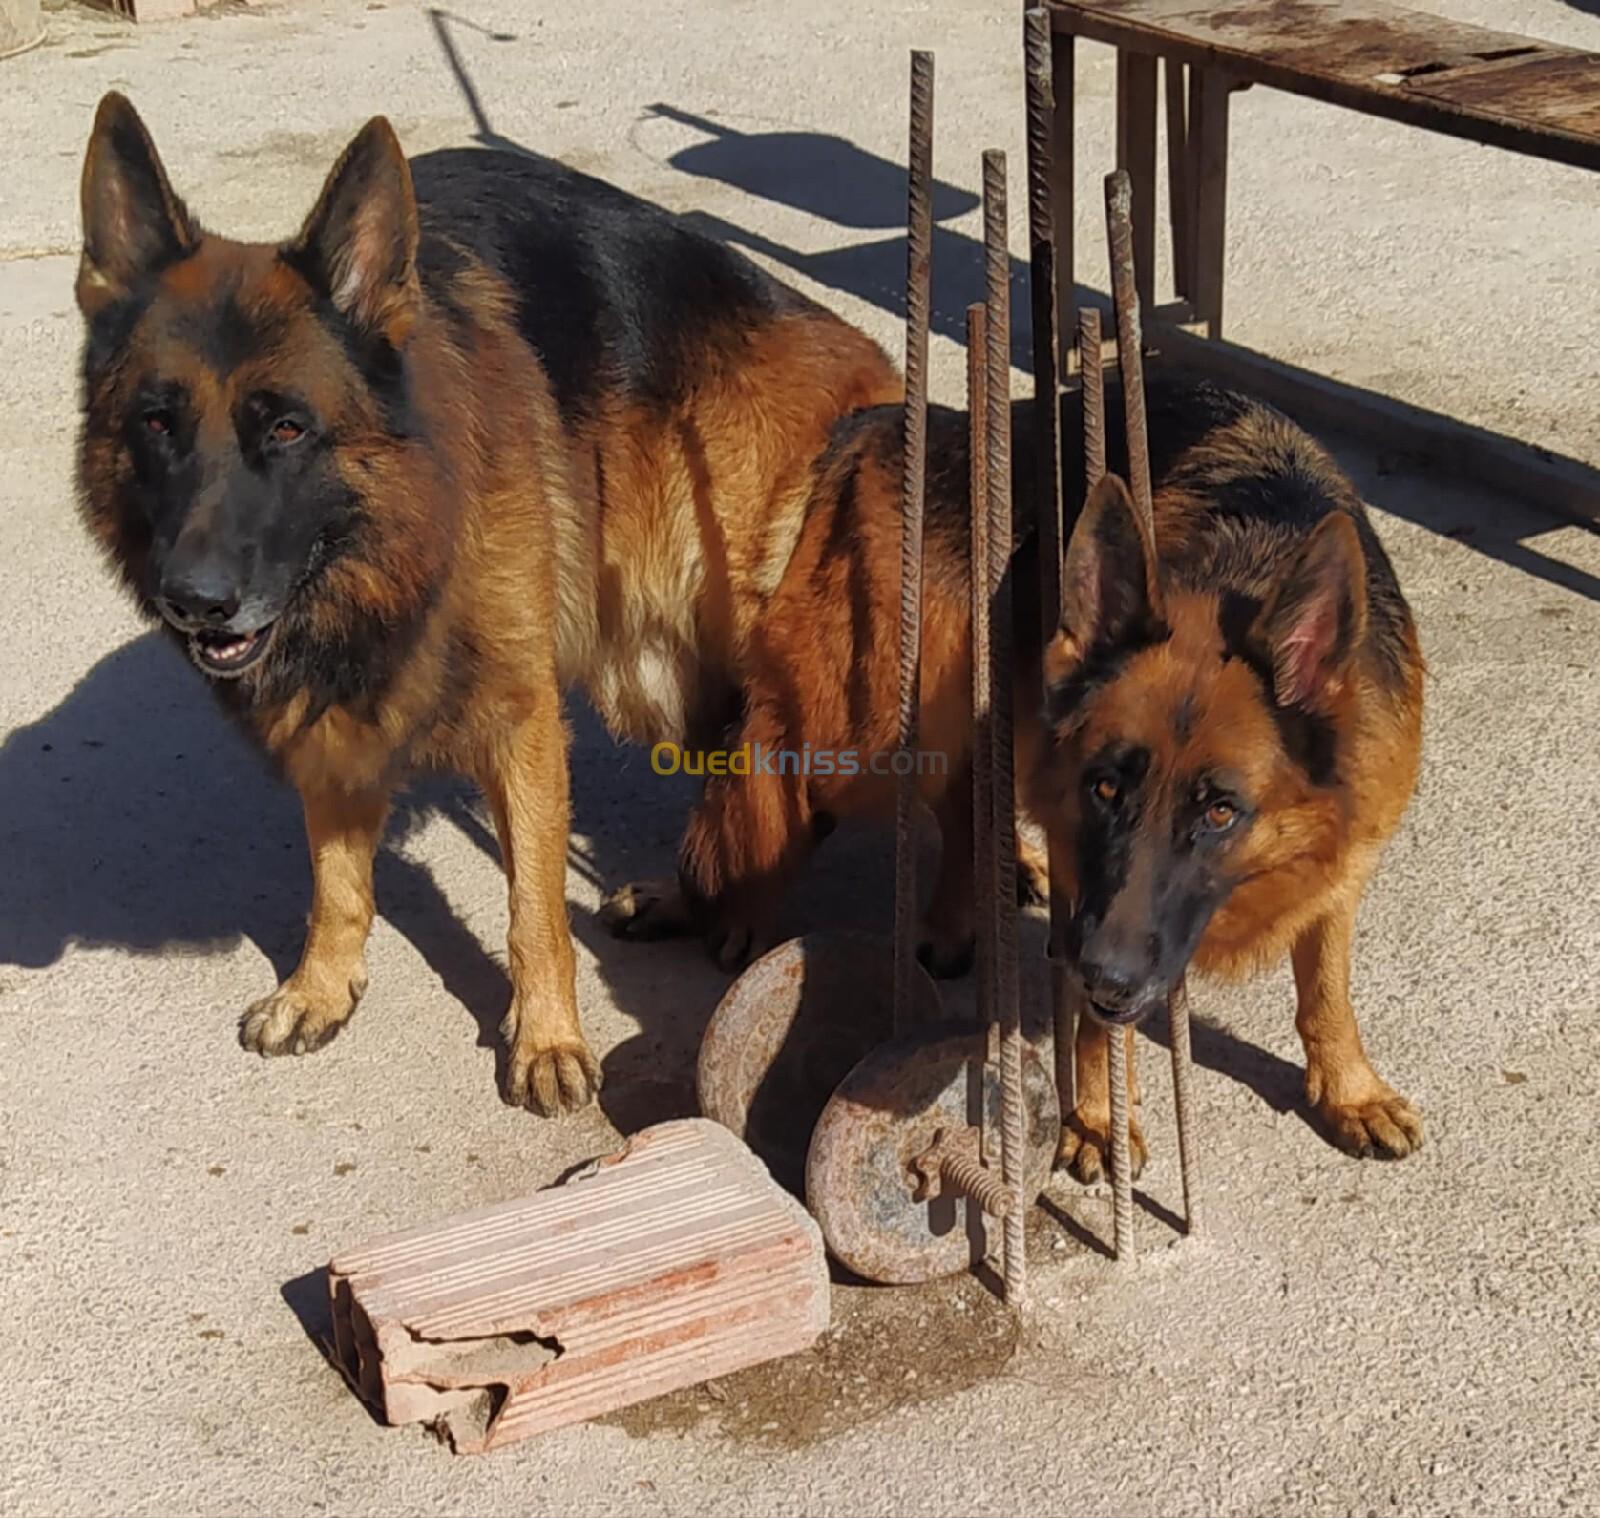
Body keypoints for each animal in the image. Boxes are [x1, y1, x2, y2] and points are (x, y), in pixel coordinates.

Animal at [72, 97, 902, 1113]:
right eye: (157, 423)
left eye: (289, 428)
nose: (196, 603)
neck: (401, 534)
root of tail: (867, 367)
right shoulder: (328, 717)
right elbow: (335, 880)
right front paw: (321, 986)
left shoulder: (523, 720)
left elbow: (533, 903)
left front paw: (546, 1039)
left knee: (777, 770)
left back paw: (743, 912)